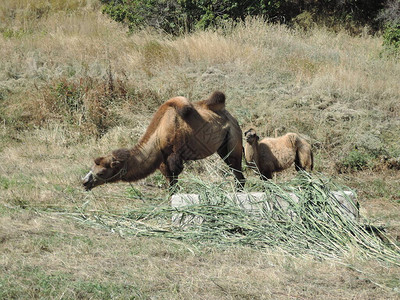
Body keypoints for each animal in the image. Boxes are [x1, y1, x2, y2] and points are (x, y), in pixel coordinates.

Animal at [81, 90, 245, 191]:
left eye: (101, 172)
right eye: (92, 167)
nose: (85, 182)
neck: (159, 135)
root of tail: (230, 115)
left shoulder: (174, 157)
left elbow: (174, 184)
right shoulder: (163, 160)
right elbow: (171, 185)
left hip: (233, 138)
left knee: (238, 173)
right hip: (223, 146)